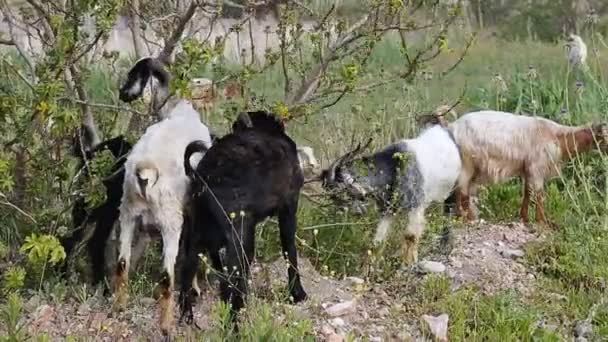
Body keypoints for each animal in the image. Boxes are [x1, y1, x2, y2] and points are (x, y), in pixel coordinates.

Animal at [114, 56, 214, 336]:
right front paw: (194, 288)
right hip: (170, 221)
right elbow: (190, 253)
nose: (122, 93)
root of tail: (144, 171)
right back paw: (167, 326)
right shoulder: (190, 211)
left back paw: (119, 308)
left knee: (122, 263)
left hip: (127, 213)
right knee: (166, 278)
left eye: (132, 75)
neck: (177, 109)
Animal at [178, 111, 306, 328]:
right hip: (241, 239)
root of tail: (202, 177)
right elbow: (290, 251)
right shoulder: (289, 209)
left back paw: (187, 317)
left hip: (194, 237)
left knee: (187, 273)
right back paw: (234, 327)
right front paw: (297, 293)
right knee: (230, 285)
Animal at [318, 125, 460, 264]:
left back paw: (445, 243)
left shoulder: (416, 203)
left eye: (341, 189)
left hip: (454, 189)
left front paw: (408, 263)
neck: (392, 167)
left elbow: (411, 235)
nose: (356, 212)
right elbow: (378, 240)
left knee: (448, 212)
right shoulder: (387, 209)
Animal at [446, 111, 608, 226]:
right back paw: (467, 218)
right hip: (466, 163)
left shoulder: (528, 169)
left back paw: (464, 216)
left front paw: (524, 217)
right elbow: (539, 194)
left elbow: (527, 192)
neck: (559, 138)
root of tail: (452, 127)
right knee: (462, 190)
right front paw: (542, 221)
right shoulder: (536, 167)